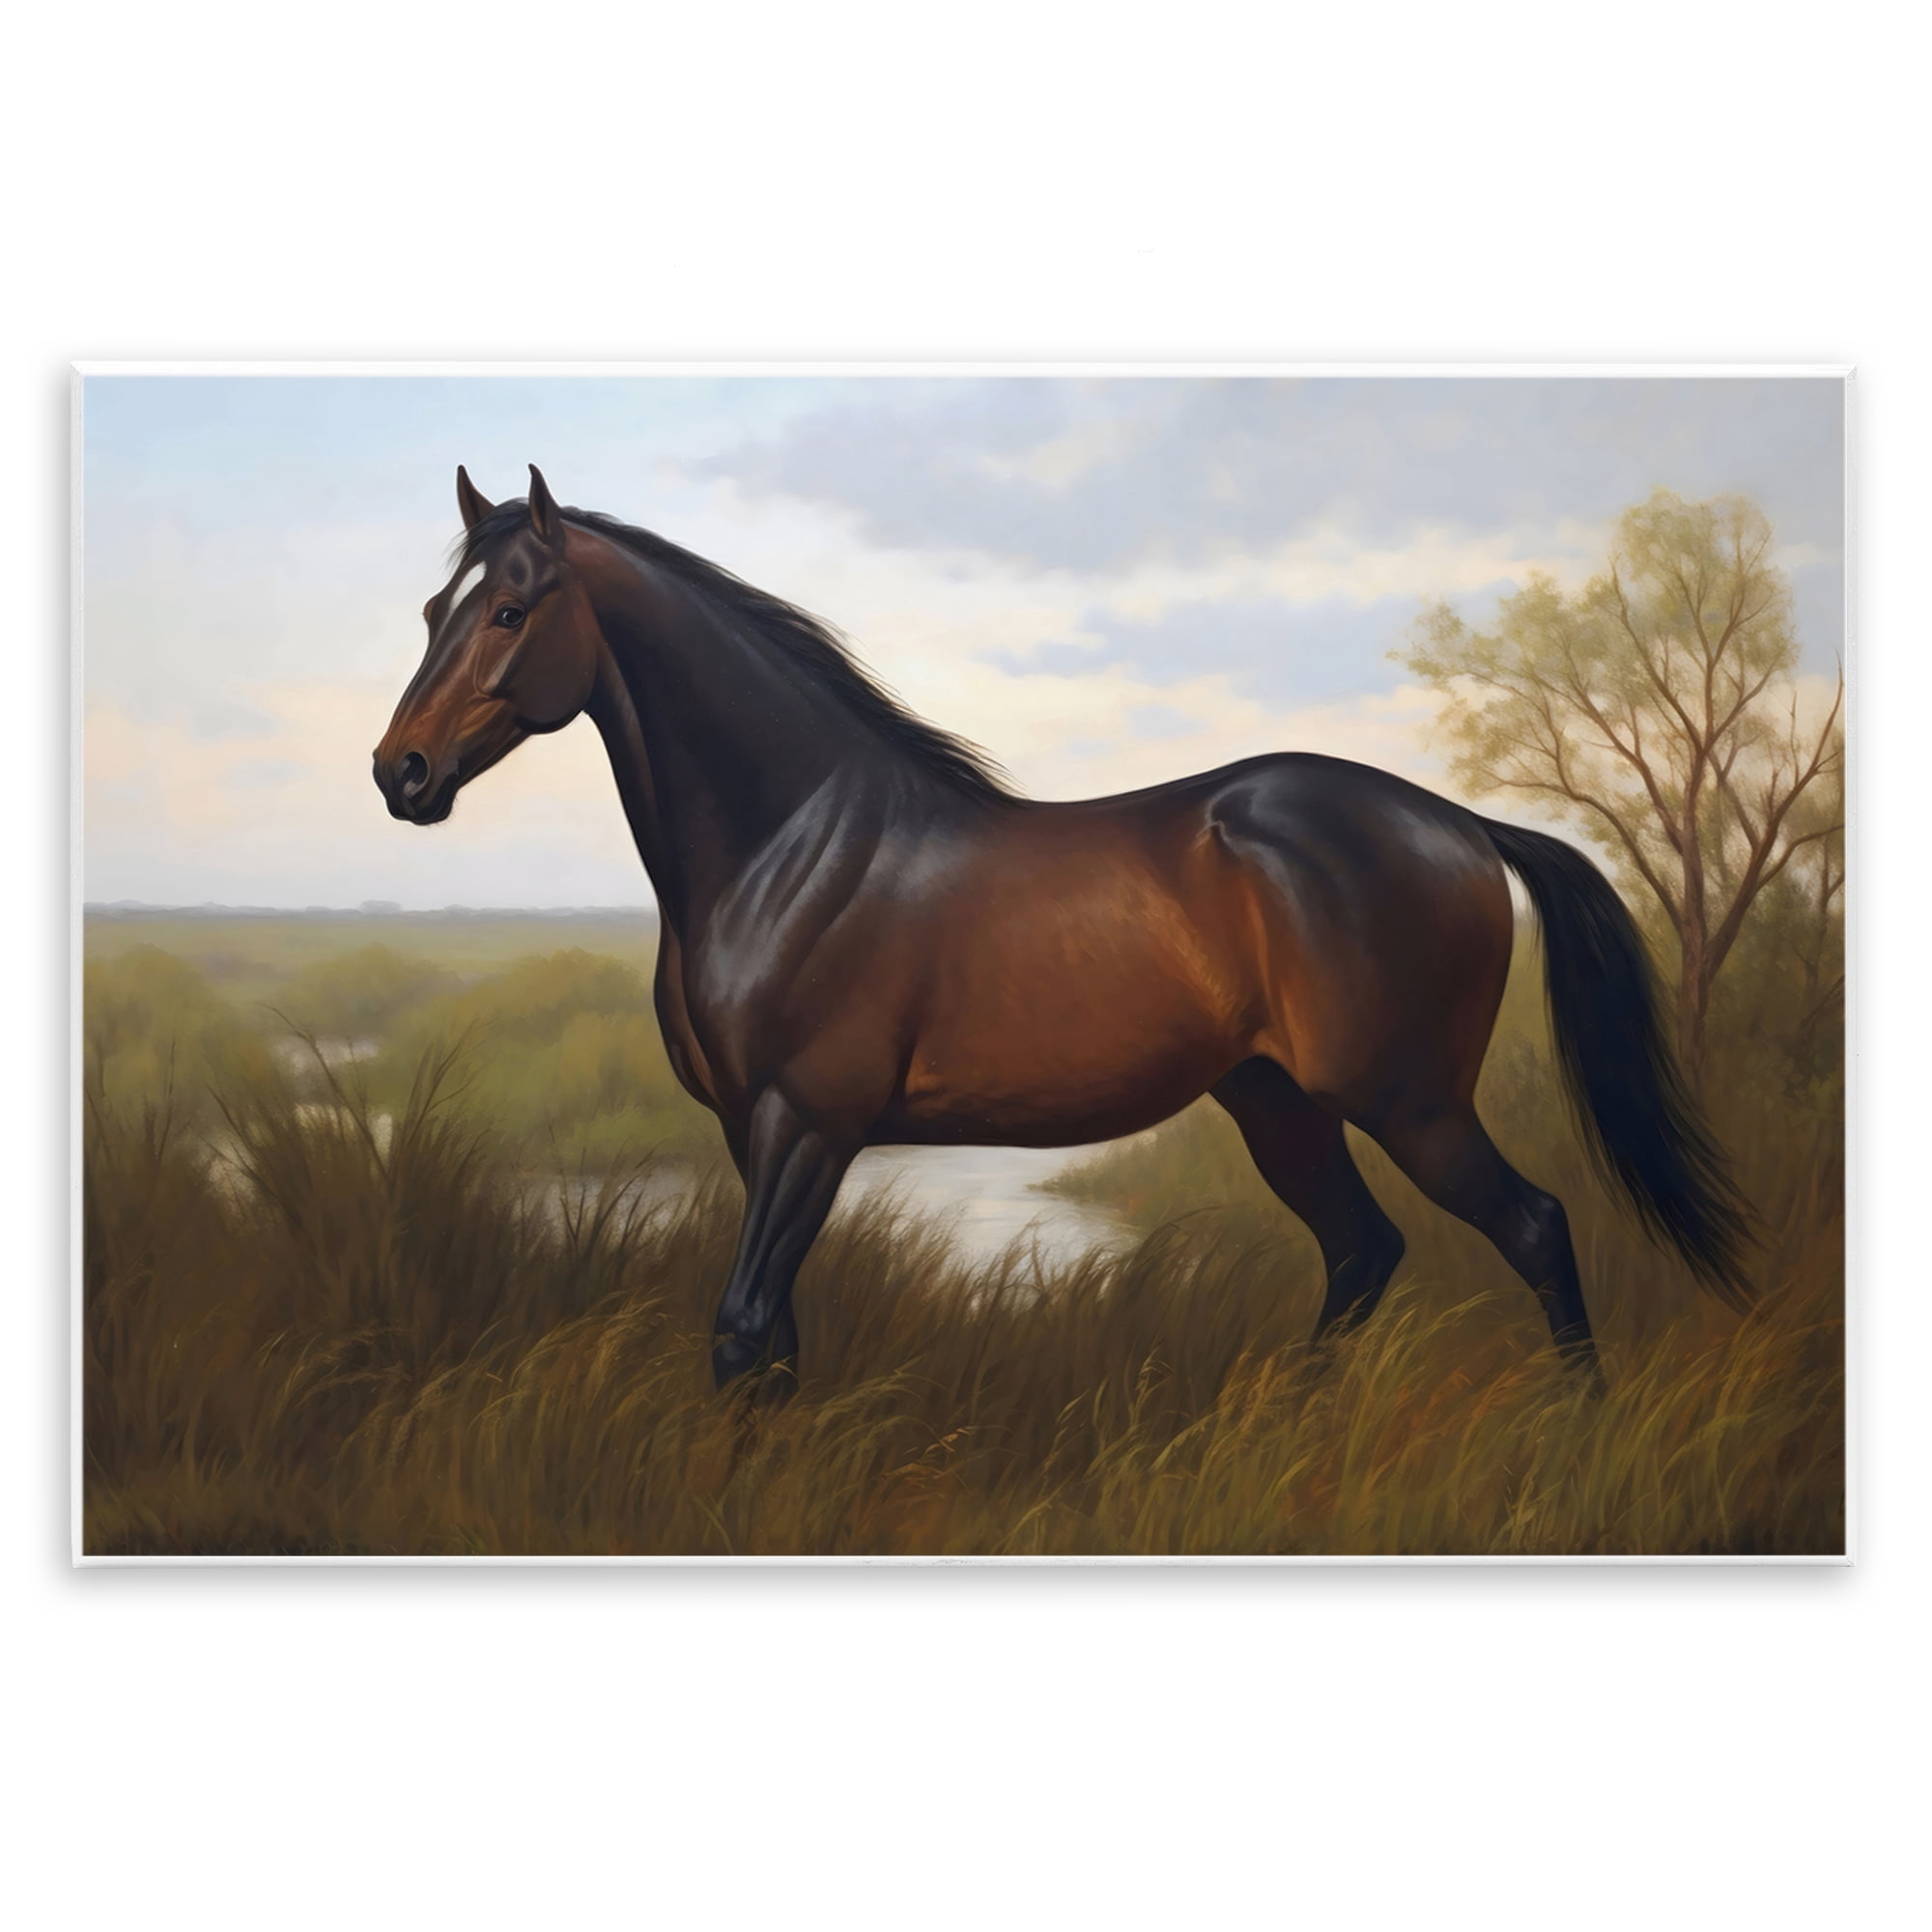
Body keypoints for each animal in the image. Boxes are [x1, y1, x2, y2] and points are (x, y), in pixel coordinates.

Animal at [374, 465, 1755, 1392]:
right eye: (434, 609)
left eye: (510, 611)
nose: (401, 772)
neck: (790, 847)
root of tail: (1459, 822)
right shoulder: (746, 1132)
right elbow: (775, 1342)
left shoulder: (807, 1124)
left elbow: (740, 1328)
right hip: (1277, 1102)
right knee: (1363, 1252)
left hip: (1405, 1098)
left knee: (1530, 1229)